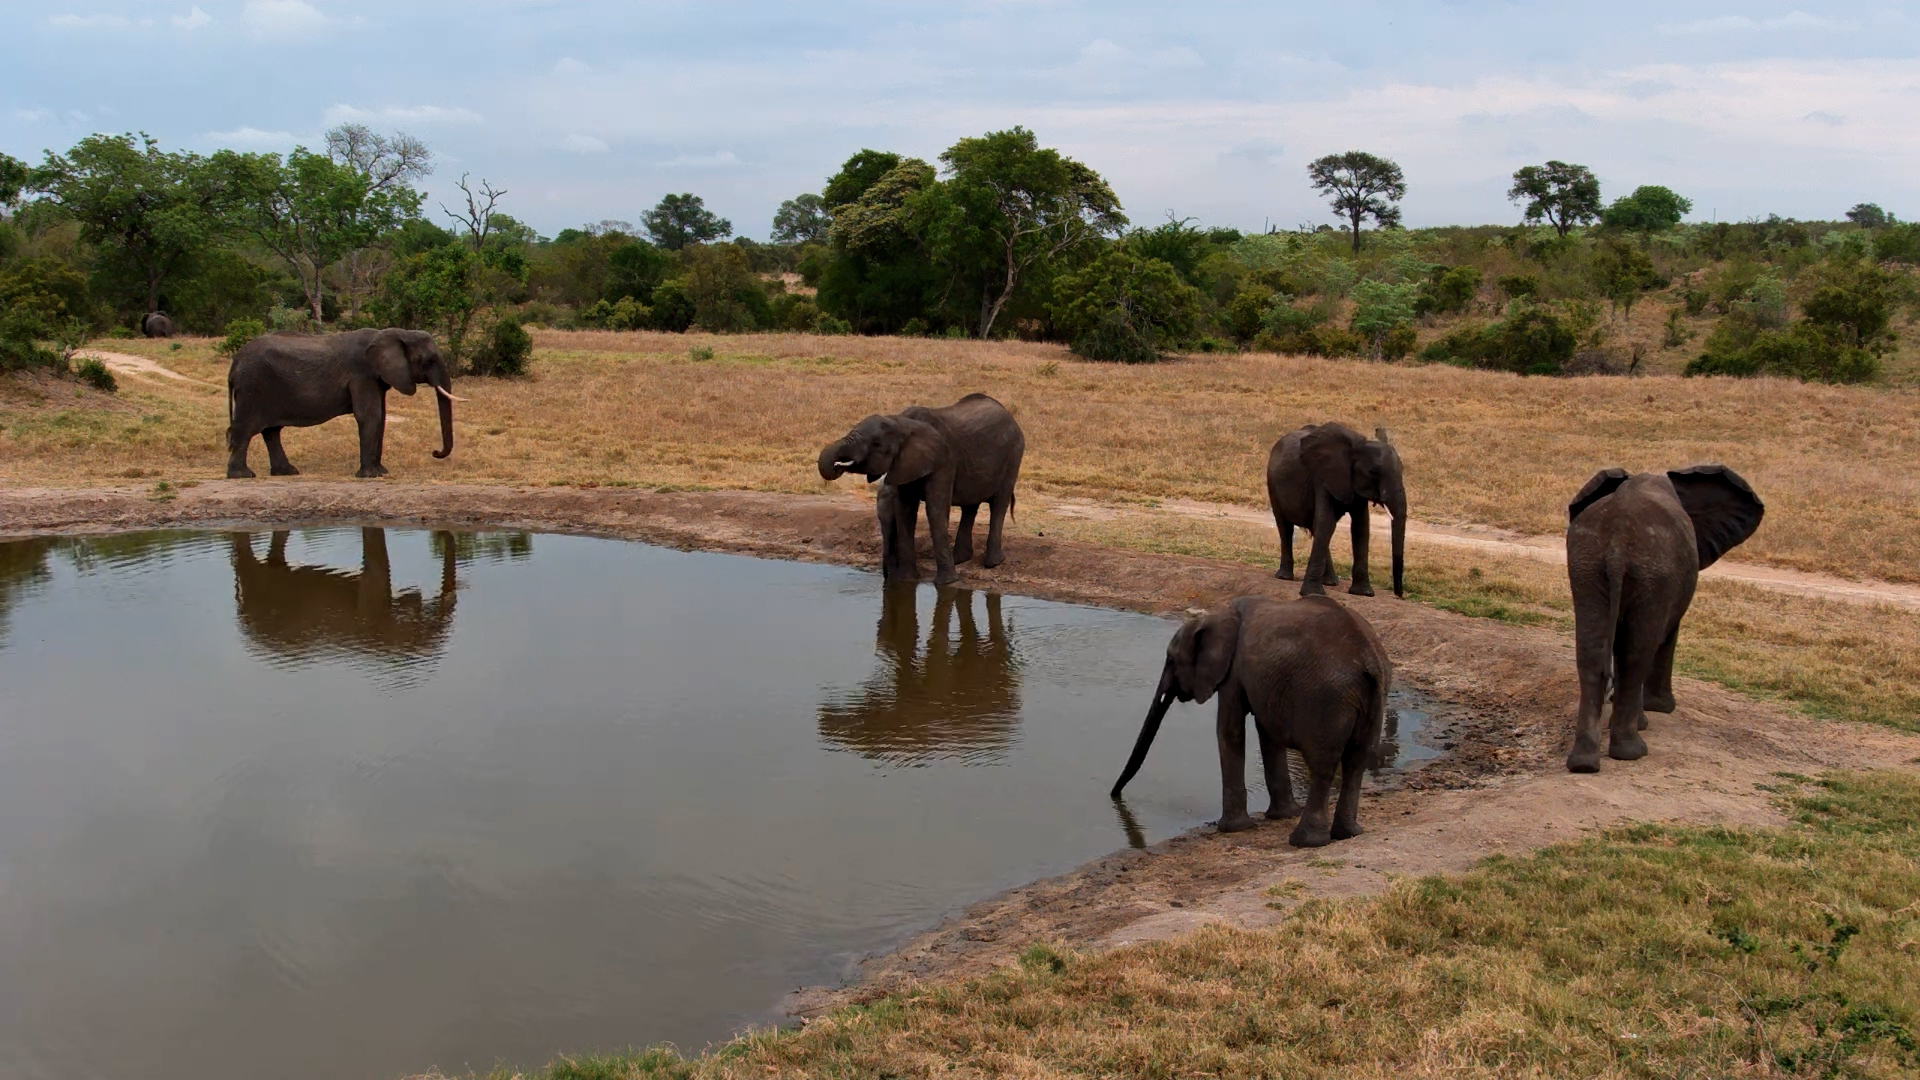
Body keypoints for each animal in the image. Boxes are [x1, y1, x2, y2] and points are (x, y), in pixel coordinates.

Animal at [226, 327, 456, 480]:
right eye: (428, 360)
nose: (435, 452)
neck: (395, 333)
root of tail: (235, 363)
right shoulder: (361, 374)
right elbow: (370, 415)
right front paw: (370, 475)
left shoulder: (375, 377)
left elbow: (380, 416)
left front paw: (381, 472)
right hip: (252, 388)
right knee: (247, 429)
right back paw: (243, 475)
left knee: (272, 431)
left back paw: (286, 472)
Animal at [817, 393, 1024, 586]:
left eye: (876, 444)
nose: (838, 465)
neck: (901, 422)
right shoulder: (904, 463)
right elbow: (905, 511)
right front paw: (907, 580)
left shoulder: (943, 460)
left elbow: (936, 510)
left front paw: (947, 583)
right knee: (970, 505)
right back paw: (960, 559)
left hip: (1014, 453)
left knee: (999, 503)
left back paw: (993, 563)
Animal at [1110, 594, 1391, 847]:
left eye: (1171, 659)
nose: (1114, 796)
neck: (1217, 615)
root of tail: (1368, 659)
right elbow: (1267, 733)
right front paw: (1281, 815)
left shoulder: (1233, 672)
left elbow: (1230, 730)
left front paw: (1231, 829)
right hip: (1373, 698)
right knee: (1356, 760)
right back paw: (1348, 834)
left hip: (1327, 701)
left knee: (1323, 765)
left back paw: (1305, 842)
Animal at [1267, 422, 1406, 599]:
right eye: (1373, 472)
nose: (1399, 594)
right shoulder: (1323, 478)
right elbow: (1326, 522)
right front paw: (1312, 593)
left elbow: (1361, 527)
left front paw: (1364, 593)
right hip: (1272, 485)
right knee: (1285, 527)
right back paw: (1285, 577)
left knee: (1316, 528)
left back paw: (1331, 582)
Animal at [1565, 465, 1763, 772]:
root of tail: (1618, 542)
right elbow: (1667, 635)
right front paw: (1662, 708)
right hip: (1654, 573)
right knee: (1637, 653)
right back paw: (1632, 751)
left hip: (1588, 567)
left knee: (1593, 654)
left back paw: (1584, 764)